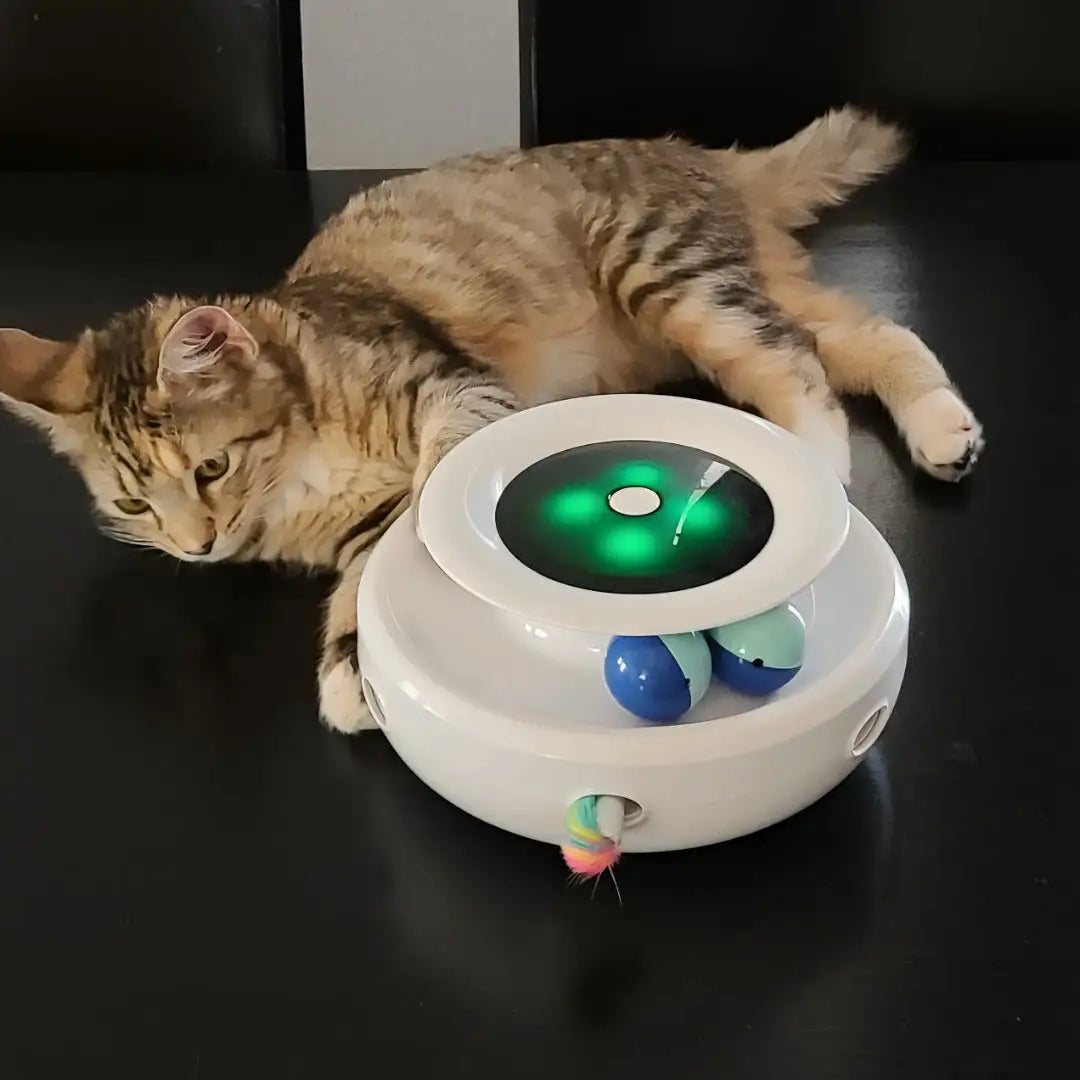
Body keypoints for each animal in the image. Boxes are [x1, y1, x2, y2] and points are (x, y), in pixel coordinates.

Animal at [0, 107, 984, 734]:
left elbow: (414, 515)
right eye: (136, 506)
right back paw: (944, 433)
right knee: (870, 332)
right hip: (718, 305)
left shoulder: (453, 389)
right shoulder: (352, 521)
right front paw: (356, 660)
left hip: (672, 279)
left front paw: (354, 667)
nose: (197, 547)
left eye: (210, 469)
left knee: (799, 363)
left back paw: (814, 466)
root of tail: (700, 153)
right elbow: (364, 573)